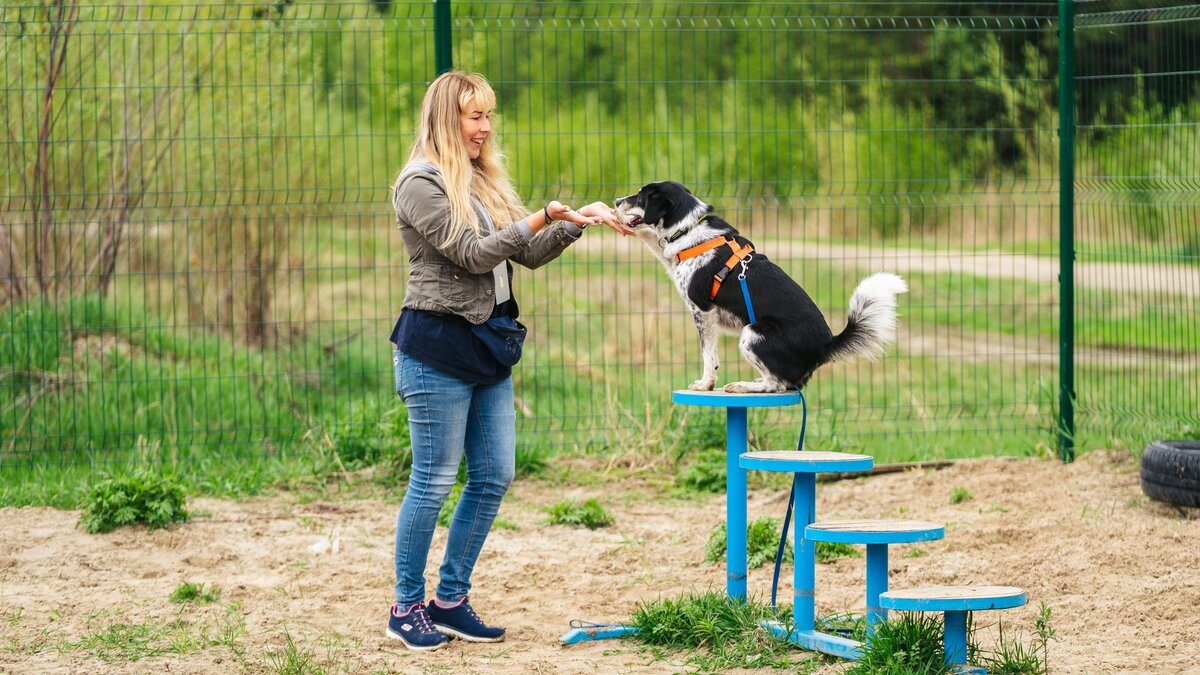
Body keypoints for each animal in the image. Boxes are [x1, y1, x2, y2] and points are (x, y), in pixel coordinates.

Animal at [619, 181, 907, 391]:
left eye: (641, 196)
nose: (617, 202)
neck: (689, 228)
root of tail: (826, 345)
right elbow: (654, 240)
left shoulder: (702, 310)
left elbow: (708, 355)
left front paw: (705, 384)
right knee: (785, 382)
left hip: (752, 333)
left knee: (777, 385)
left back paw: (745, 386)